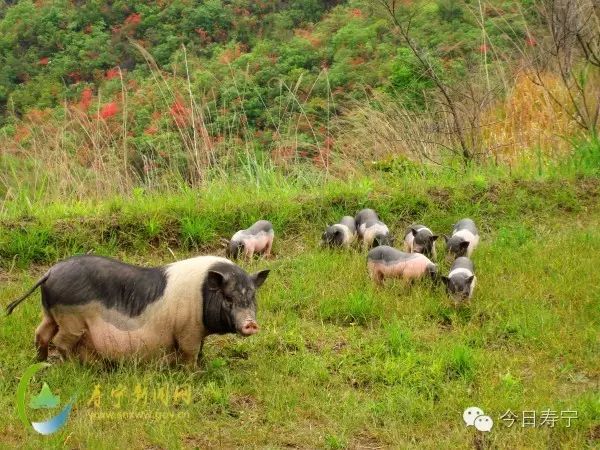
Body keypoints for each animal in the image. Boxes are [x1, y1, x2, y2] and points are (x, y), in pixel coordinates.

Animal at [4, 255, 270, 364]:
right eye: (228, 298)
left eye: (252, 296)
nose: (251, 324)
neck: (202, 293)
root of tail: (49, 272)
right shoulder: (188, 329)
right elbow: (190, 352)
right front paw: (194, 373)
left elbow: (200, 350)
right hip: (72, 320)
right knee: (60, 341)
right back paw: (74, 366)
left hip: (50, 313)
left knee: (41, 333)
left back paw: (40, 361)